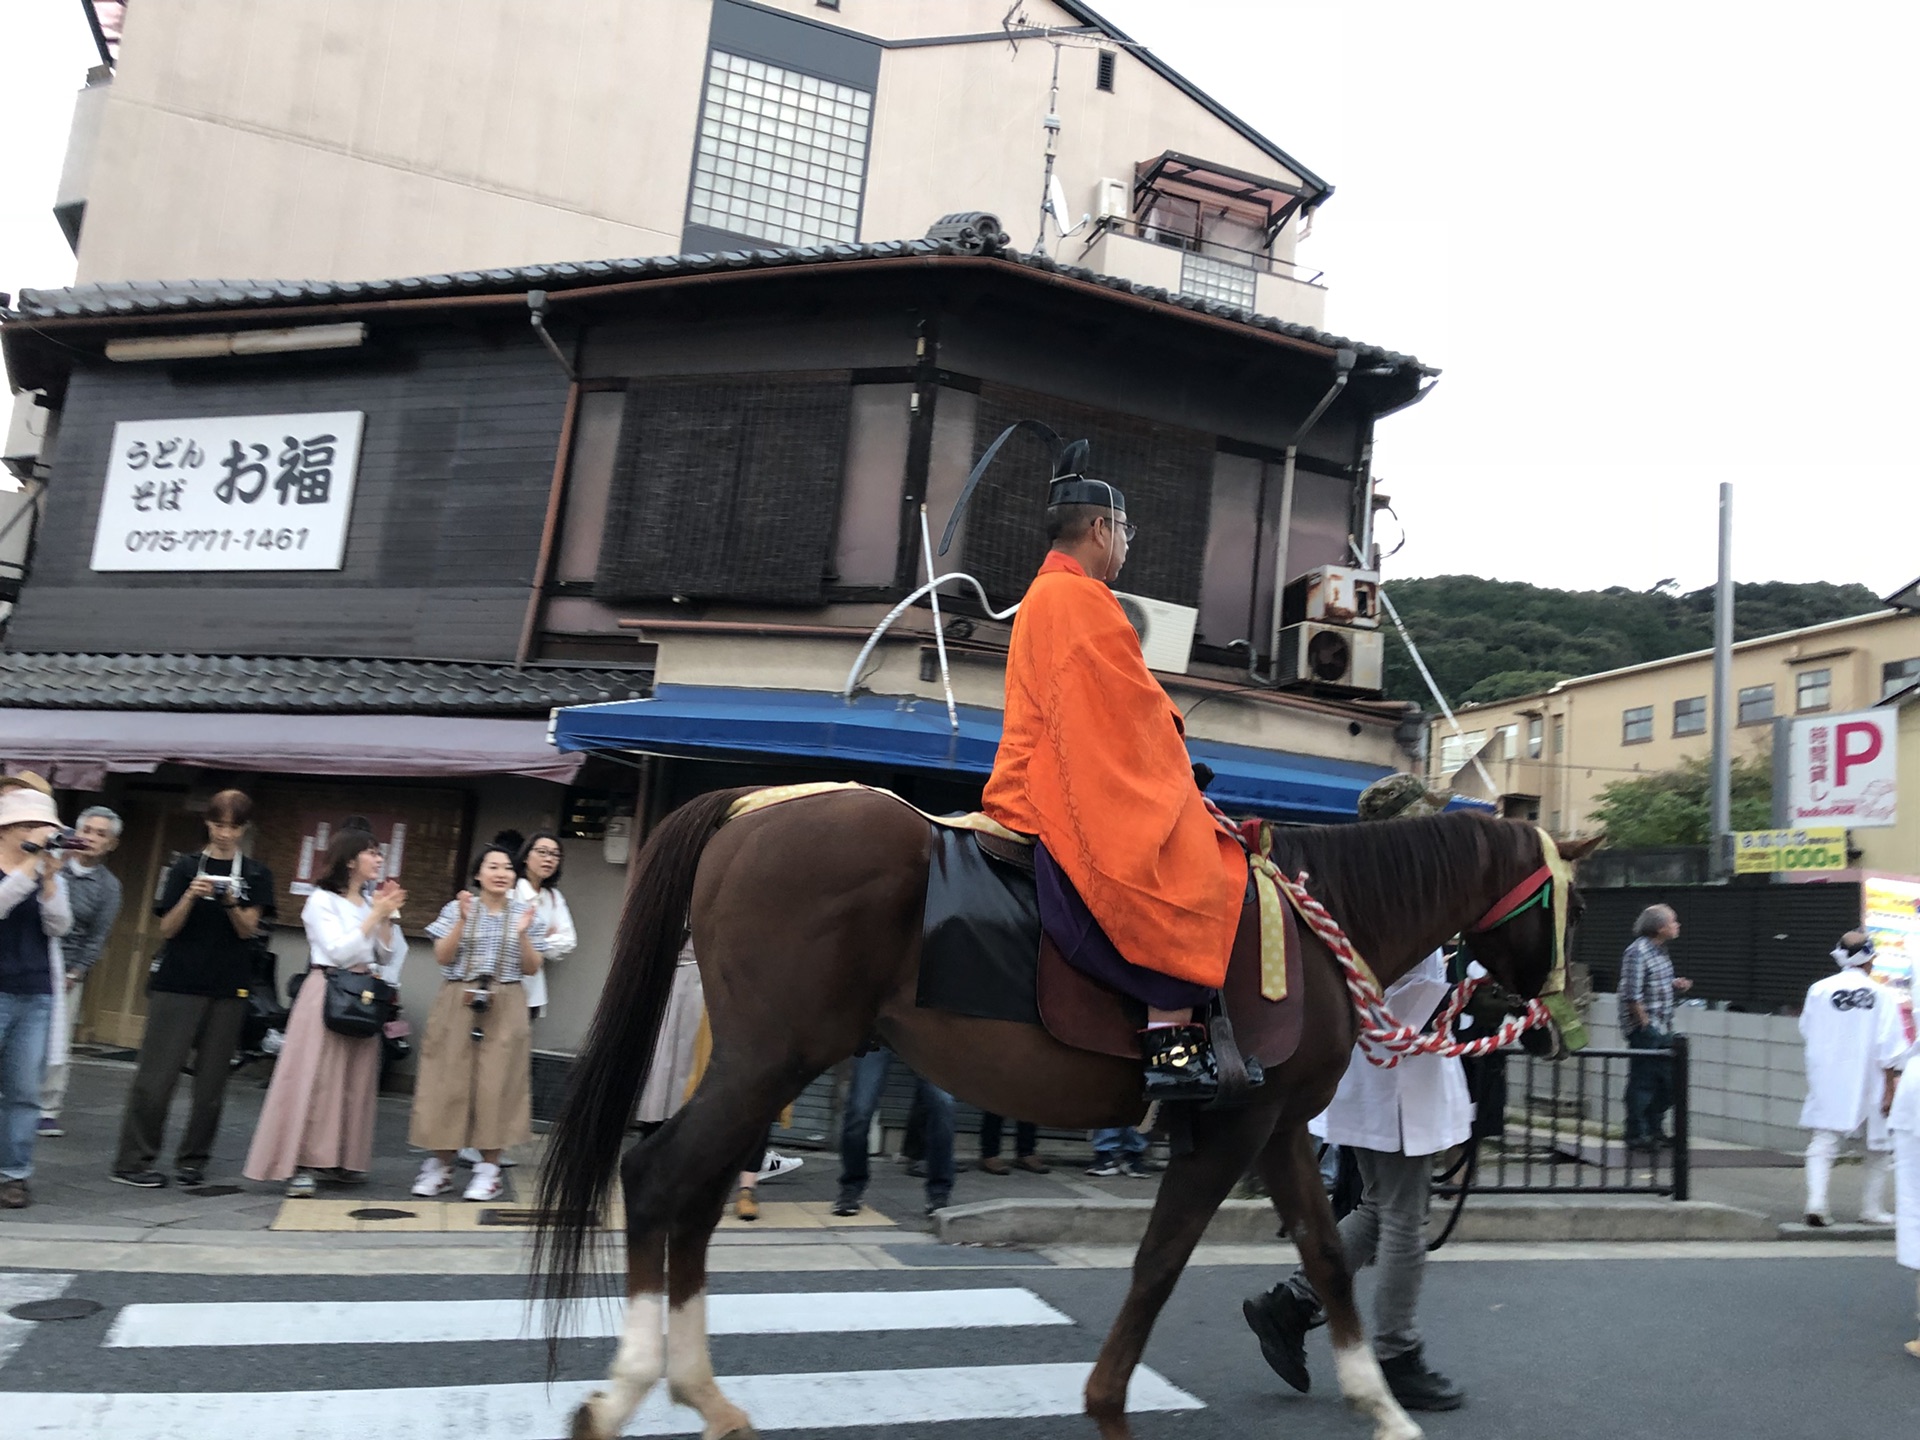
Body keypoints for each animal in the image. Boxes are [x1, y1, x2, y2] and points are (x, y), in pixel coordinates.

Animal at [533, 791, 1597, 1440]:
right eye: (1575, 905)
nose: (1556, 1021)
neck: (1315, 924)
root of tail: (752, 809)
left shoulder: (1279, 1124)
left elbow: (1330, 1258)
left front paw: (1378, 1401)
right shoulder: (1232, 1124)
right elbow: (1161, 1260)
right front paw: (1109, 1402)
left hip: (762, 1061)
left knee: (696, 1198)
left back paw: (702, 1395)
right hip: (769, 1055)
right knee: (657, 1178)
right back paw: (629, 1390)